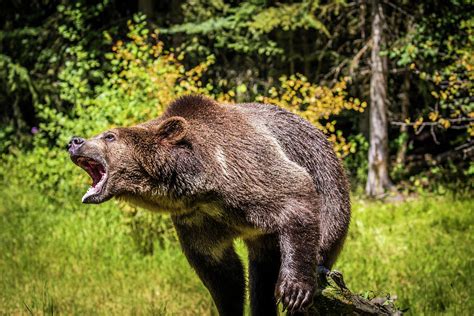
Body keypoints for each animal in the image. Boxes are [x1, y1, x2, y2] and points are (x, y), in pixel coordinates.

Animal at [66, 94, 350, 316]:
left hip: (328, 179)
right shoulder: (198, 220)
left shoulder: (246, 171)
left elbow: (293, 194)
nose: (74, 141)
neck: (203, 186)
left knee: (326, 226)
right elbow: (220, 271)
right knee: (262, 274)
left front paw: (294, 290)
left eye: (109, 136)